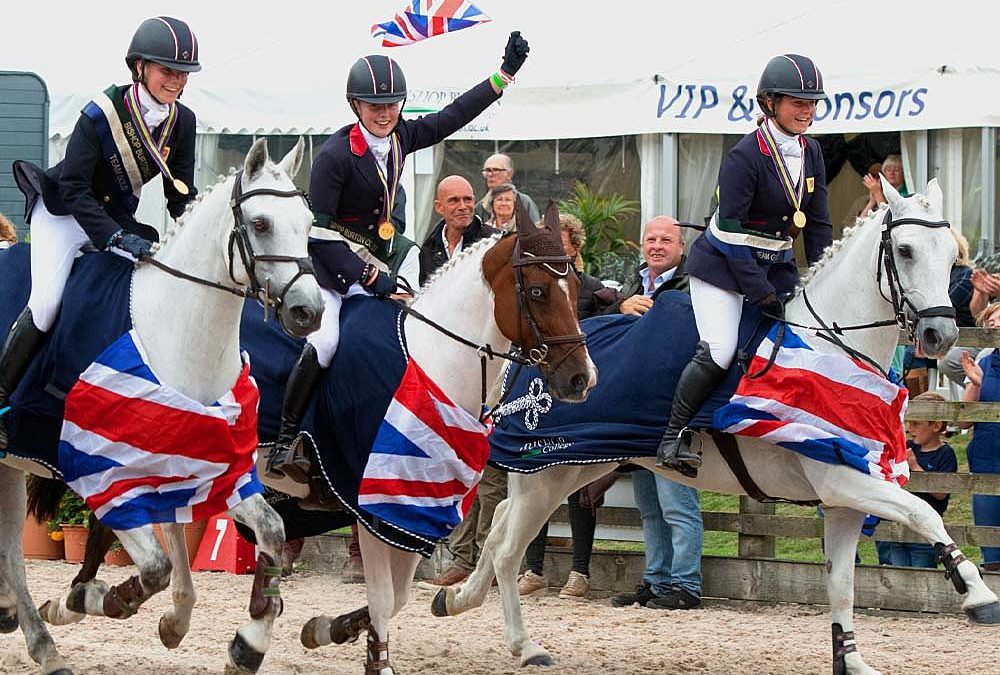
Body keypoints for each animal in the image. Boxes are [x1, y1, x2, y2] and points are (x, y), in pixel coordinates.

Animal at [0, 139, 320, 675]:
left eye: (309, 221)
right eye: (259, 224)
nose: (308, 312)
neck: (171, 331)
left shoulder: (206, 467)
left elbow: (263, 534)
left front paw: (244, 643)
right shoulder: (100, 473)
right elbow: (154, 567)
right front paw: (84, 600)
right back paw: (44, 642)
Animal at [292, 203, 596, 672]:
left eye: (578, 286)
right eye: (539, 291)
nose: (582, 379)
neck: (429, 362)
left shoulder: (417, 506)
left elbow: (396, 598)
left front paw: (332, 628)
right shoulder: (376, 502)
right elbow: (385, 599)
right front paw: (375, 658)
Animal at [432, 180, 1000, 675]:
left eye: (951, 256)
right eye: (904, 250)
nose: (941, 333)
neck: (834, 345)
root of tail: (538, 355)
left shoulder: (843, 498)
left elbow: (842, 586)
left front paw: (853, 662)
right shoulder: (842, 481)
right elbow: (924, 512)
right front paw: (977, 595)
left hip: (572, 467)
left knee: (500, 524)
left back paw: (457, 598)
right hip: (548, 470)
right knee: (508, 545)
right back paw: (521, 643)